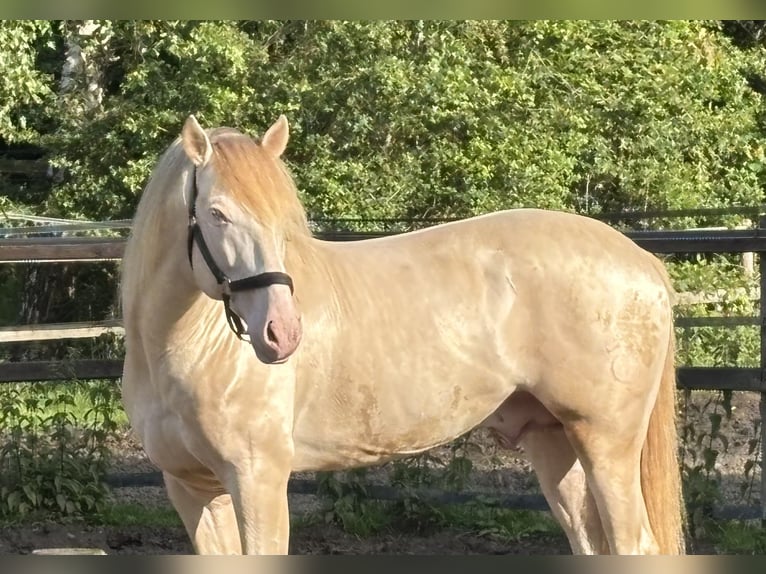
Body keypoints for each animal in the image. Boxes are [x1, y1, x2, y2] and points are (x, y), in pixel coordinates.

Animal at [120, 113, 685, 555]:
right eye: (216, 214)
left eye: (284, 222)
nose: (282, 332)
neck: (185, 350)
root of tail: (643, 262)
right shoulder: (192, 489)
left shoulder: (258, 479)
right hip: (554, 439)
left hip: (606, 442)